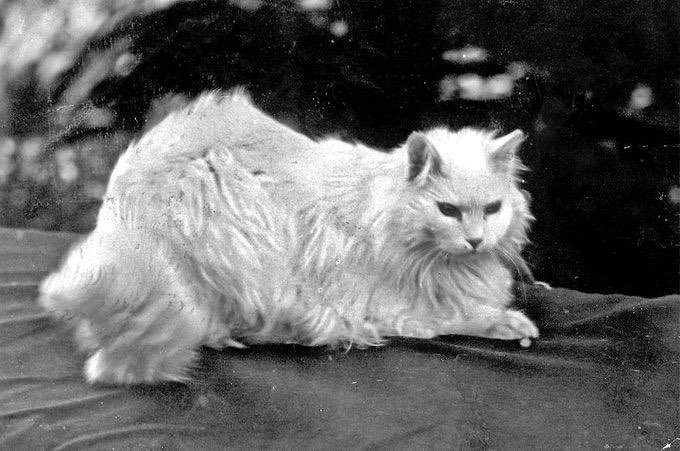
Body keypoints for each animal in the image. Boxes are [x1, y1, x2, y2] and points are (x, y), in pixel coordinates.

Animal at [41, 91, 540, 384]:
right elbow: (450, 318)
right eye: (448, 211)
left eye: (492, 209)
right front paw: (508, 323)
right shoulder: (383, 306)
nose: (476, 240)